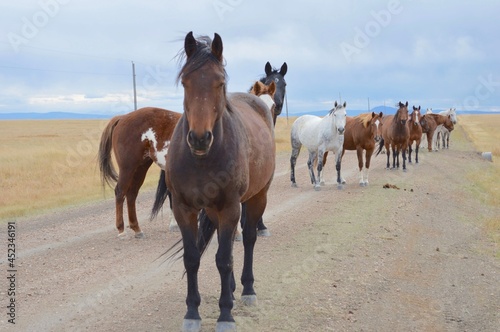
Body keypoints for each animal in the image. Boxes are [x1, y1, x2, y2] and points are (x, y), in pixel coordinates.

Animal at [98, 107, 182, 237]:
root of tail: (122, 118)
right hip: (127, 168)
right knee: (120, 192)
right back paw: (121, 230)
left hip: (141, 167)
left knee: (132, 194)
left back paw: (136, 228)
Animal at [153, 31, 278, 332]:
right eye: (185, 82)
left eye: (220, 82)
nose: (200, 138)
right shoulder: (184, 209)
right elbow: (192, 258)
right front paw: (192, 313)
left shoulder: (231, 207)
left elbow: (224, 259)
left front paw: (225, 315)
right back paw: (231, 289)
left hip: (256, 198)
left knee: (247, 239)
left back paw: (246, 290)